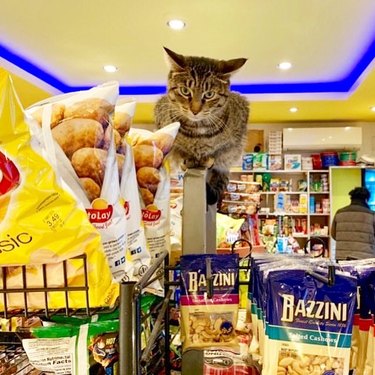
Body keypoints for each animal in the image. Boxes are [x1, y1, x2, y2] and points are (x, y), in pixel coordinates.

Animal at [154, 47, 251, 206]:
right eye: (185, 91)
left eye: (209, 94)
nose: (195, 110)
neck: (198, 131)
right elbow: (179, 151)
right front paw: (187, 160)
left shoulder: (234, 142)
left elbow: (219, 152)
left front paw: (208, 159)